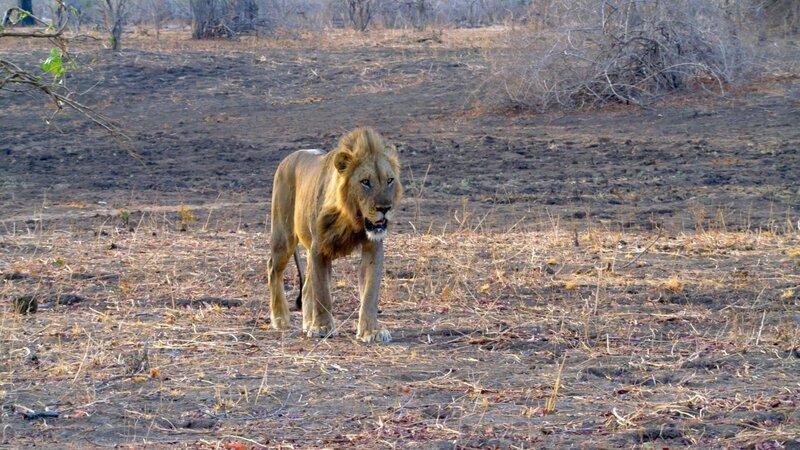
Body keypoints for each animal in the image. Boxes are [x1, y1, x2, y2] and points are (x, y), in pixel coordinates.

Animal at [267, 127, 402, 343]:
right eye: (365, 182)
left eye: (390, 180)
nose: (384, 208)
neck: (352, 218)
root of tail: (288, 158)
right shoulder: (319, 248)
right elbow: (322, 292)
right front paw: (322, 327)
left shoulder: (373, 248)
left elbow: (370, 292)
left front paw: (371, 331)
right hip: (283, 235)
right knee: (273, 268)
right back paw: (280, 318)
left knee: (306, 286)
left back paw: (307, 323)